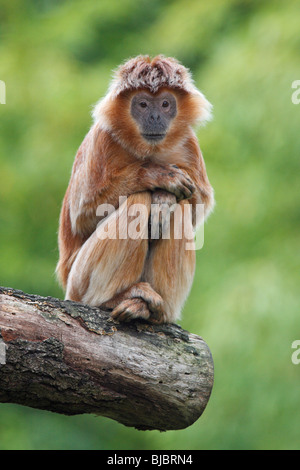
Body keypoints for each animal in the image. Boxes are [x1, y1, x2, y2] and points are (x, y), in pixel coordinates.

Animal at [56, 53, 214, 322]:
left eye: (165, 104)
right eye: (142, 104)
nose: (155, 118)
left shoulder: (188, 144)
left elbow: (196, 206)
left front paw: (164, 198)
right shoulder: (102, 139)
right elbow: (82, 215)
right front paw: (157, 176)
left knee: (178, 211)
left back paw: (153, 312)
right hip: (78, 282)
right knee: (138, 201)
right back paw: (114, 299)